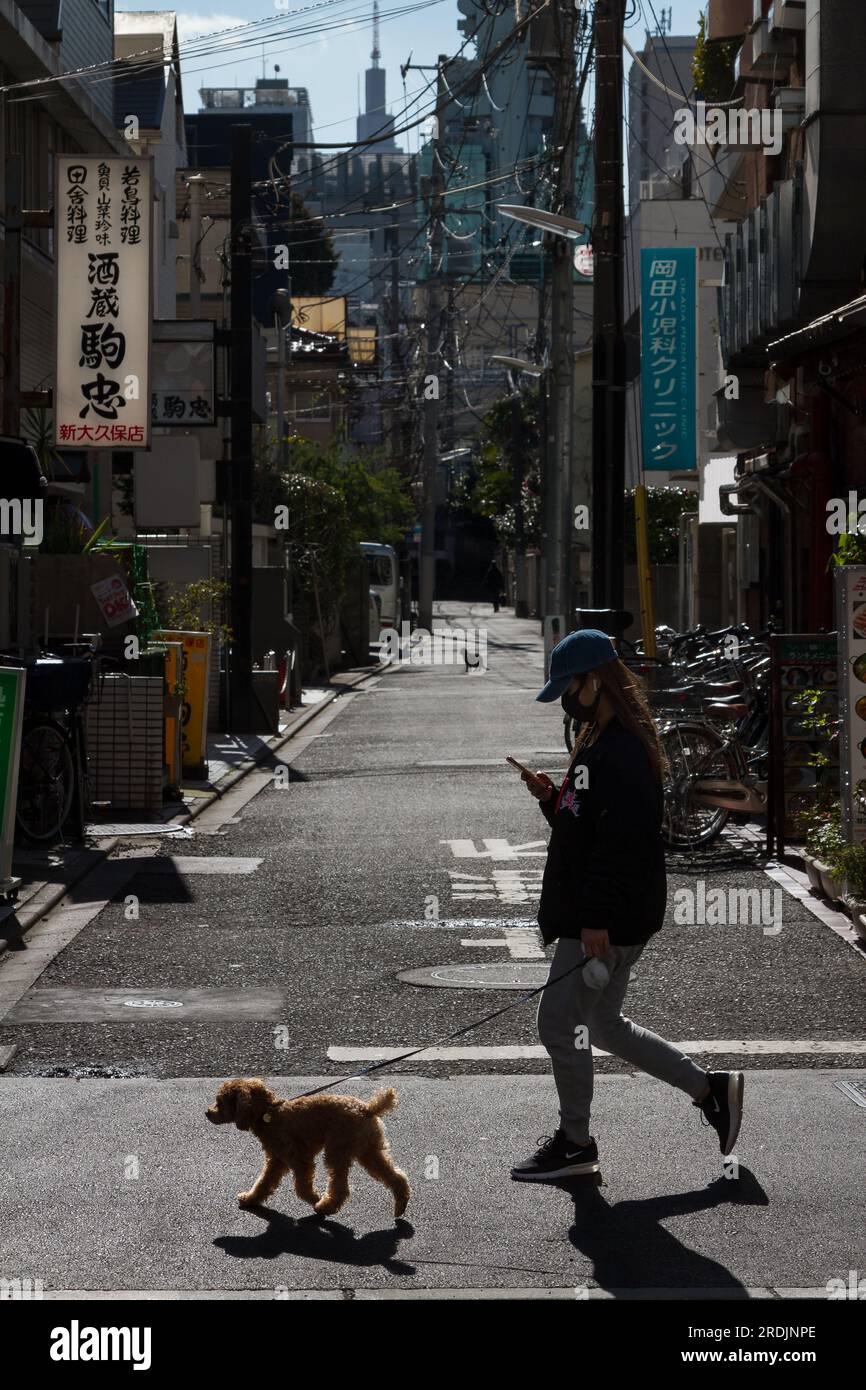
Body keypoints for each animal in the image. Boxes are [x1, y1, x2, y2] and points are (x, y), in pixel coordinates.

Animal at [209, 1073, 414, 1217]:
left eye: (220, 1102)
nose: (207, 1112)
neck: (267, 1113)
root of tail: (368, 1108)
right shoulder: (276, 1160)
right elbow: (264, 1182)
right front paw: (250, 1198)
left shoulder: (299, 1157)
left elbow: (301, 1186)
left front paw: (314, 1197)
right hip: (368, 1150)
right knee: (395, 1176)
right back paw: (401, 1206)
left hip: (338, 1148)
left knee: (341, 1187)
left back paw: (325, 1206)